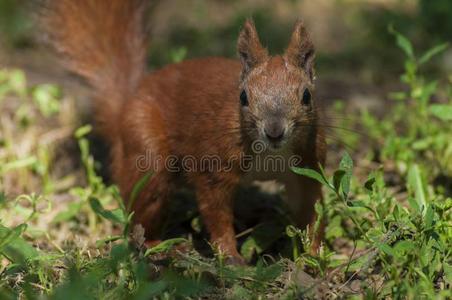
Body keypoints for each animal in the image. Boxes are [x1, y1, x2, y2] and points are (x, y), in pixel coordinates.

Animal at [44, 0, 326, 264]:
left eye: (306, 96)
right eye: (244, 97)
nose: (274, 132)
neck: (269, 153)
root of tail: (125, 106)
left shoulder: (308, 165)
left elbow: (311, 207)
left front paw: (313, 254)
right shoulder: (213, 166)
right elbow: (216, 212)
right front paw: (230, 256)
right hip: (148, 153)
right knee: (141, 215)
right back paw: (160, 247)